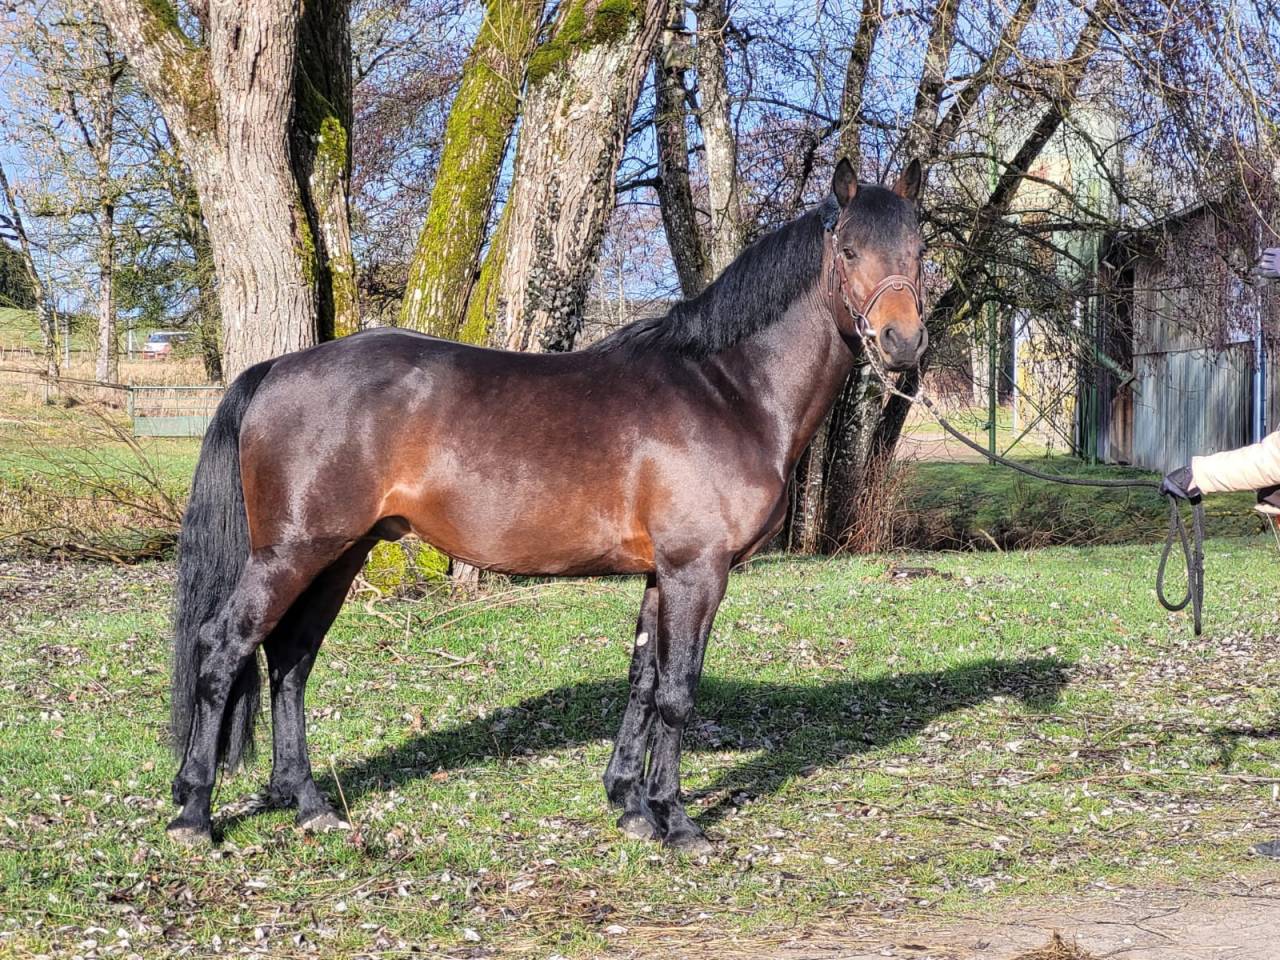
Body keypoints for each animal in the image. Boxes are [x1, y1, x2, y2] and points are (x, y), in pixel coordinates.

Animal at [166, 158, 929, 854]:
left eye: (920, 251)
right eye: (849, 251)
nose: (904, 343)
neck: (727, 389)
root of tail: (278, 368)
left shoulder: (662, 575)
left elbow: (643, 681)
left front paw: (629, 805)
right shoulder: (698, 570)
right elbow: (678, 691)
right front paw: (678, 822)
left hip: (340, 554)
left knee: (291, 659)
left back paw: (309, 804)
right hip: (291, 554)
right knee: (224, 648)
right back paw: (194, 814)